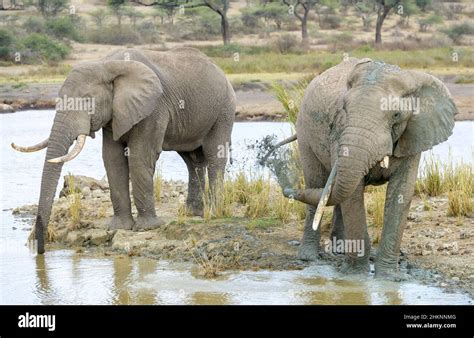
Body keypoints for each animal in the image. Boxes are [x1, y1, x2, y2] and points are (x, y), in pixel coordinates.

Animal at [12, 46, 237, 254]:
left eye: (87, 101)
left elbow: (139, 156)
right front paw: (119, 227)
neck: (107, 65)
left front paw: (146, 228)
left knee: (214, 155)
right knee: (192, 159)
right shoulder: (115, 113)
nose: (40, 249)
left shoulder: (153, 108)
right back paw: (193, 213)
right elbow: (112, 159)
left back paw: (214, 212)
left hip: (224, 109)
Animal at [262, 58, 458, 278]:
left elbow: (401, 192)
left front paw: (388, 278)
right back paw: (308, 257)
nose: (286, 188)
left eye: (396, 114)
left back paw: (339, 249)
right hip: (304, 130)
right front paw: (356, 276)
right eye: (344, 109)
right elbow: (353, 195)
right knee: (317, 181)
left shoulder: (414, 134)